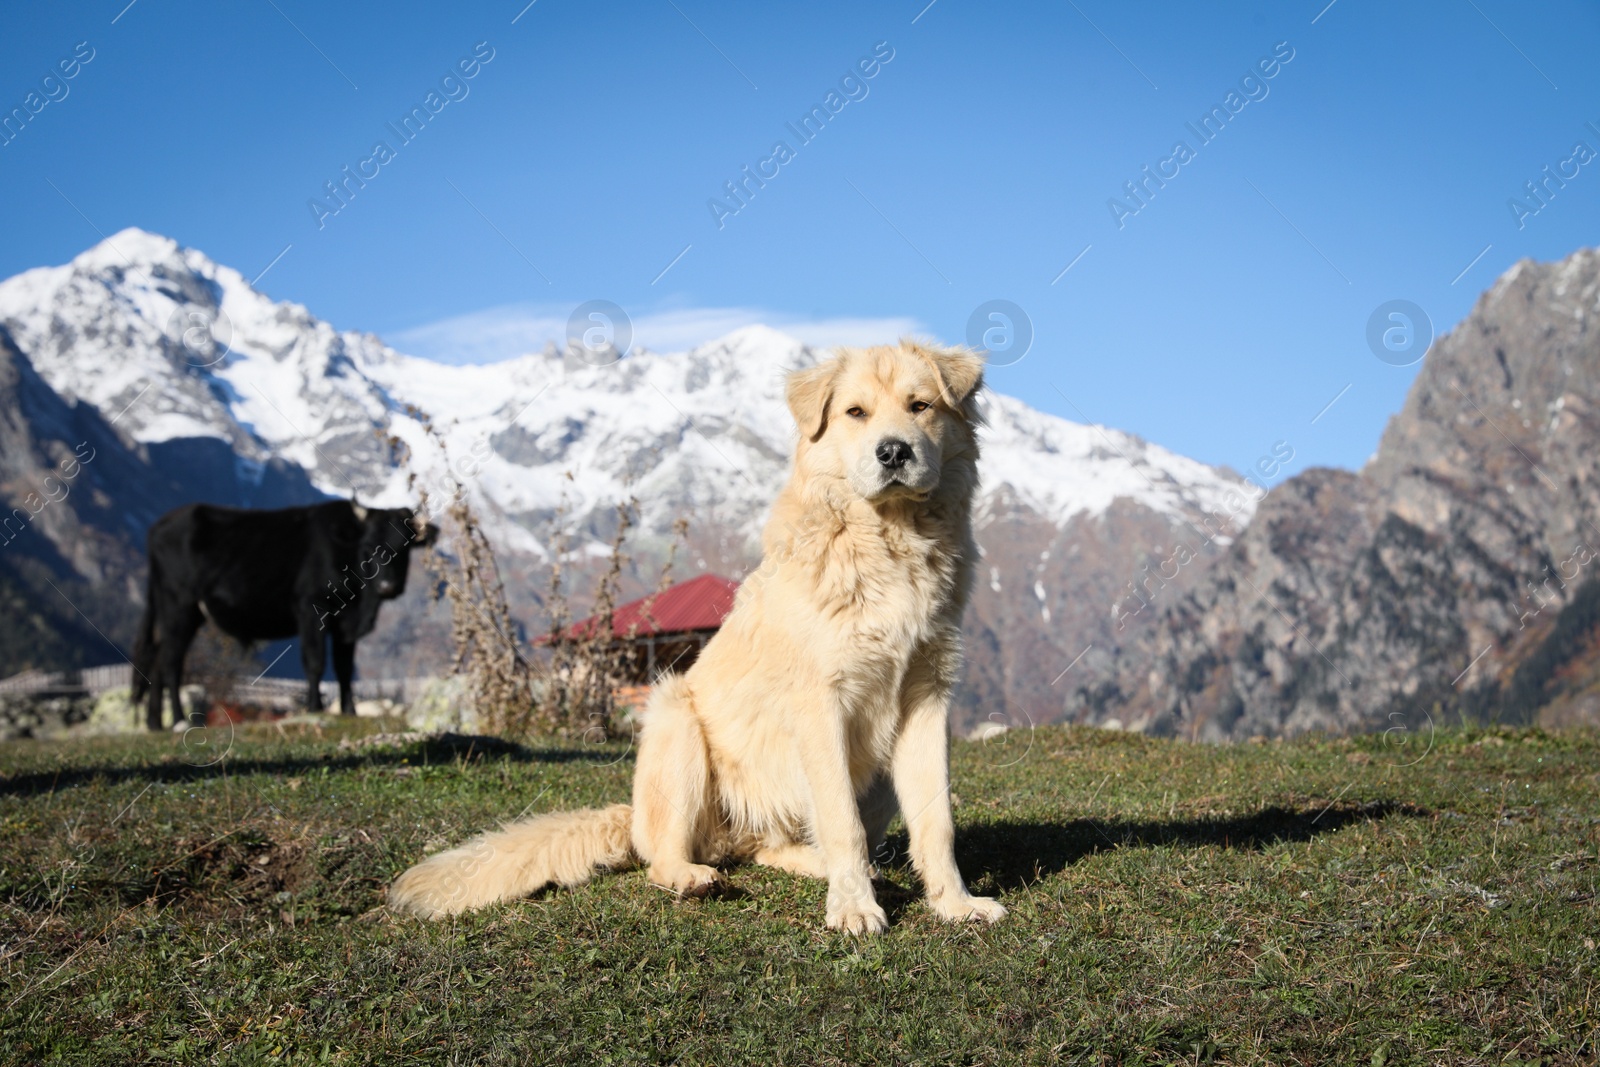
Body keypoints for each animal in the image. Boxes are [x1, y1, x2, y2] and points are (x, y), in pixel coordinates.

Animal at [132, 502, 438, 735]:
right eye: (369, 545)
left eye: (404, 547)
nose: (388, 587)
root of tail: (161, 525)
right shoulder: (311, 609)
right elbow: (315, 662)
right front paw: (315, 708)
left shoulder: (345, 623)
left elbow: (344, 668)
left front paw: (350, 711)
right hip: (179, 607)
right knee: (171, 662)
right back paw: (178, 720)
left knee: (157, 661)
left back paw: (155, 723)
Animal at [388, 342, 1004, 934]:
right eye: (856, 413)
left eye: (919, 406)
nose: (893, 452)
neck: (887, 541)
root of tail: (631, 816)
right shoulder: (820, 704)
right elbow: (841, 823)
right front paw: (853, 909)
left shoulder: (926, 700)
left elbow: (936, 821)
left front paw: (955, 904)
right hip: (676, 719)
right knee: (664, 856)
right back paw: (695, 876)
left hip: (864, 781)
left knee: (771, 846)